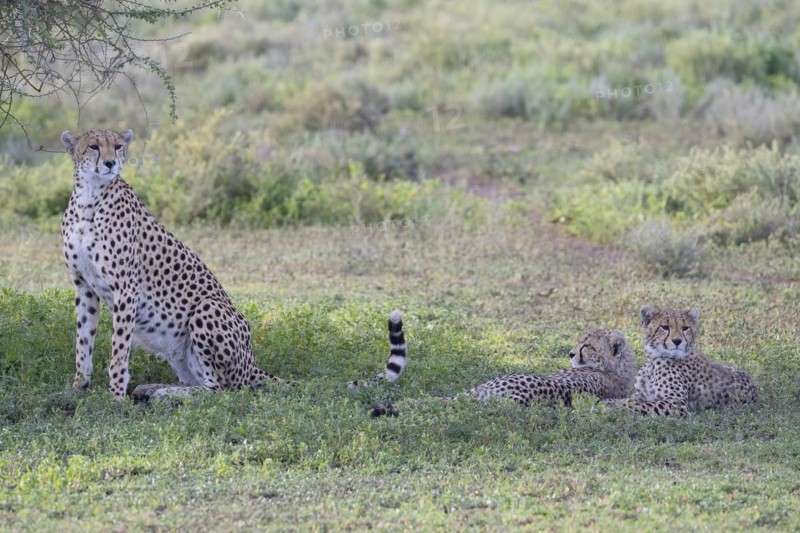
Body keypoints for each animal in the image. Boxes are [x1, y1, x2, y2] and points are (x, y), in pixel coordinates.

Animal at [60, 128, 283, 401]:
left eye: (118, 146)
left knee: (220, 390)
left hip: (207, 308)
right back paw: (153, 388)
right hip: (179, 353)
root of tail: (252, 364)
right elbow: (83, 343)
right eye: (93, 146)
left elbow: (119, 349)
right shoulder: (84, 287)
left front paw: (115, 397)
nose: (111, 163)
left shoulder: (126, 290)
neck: (89, 198)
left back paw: (163, 392)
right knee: (198, 382)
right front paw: (77, 389)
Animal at [603, 306, 757, 416]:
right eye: (665, 327)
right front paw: (606, 401)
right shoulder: (639, 395)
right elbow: (626, 400)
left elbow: (638, 406)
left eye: (685, 328)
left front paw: (608, 408)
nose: (677, 341)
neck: (654, 360)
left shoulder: (676, 404)